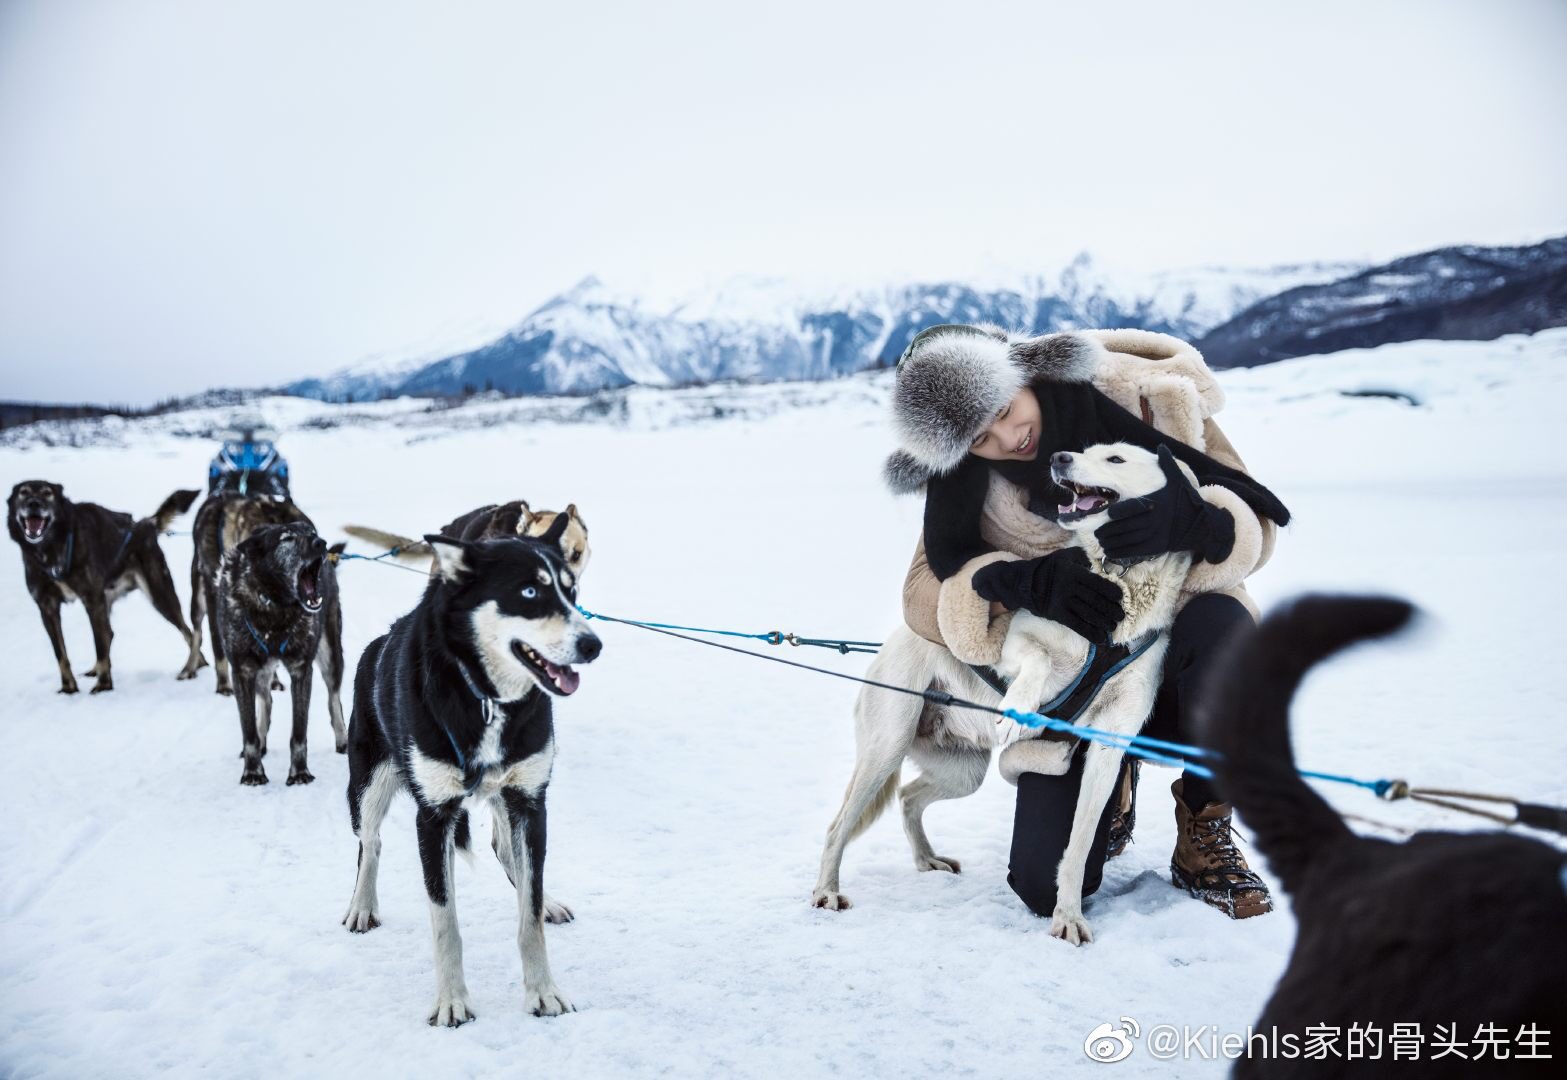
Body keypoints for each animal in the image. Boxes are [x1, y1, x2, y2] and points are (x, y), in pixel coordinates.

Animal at [7, 479, 203, 689]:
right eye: (23, 492)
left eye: (47, 493)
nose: (33, 504)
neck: (51, 550)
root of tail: (144, 525)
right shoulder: (47, 606)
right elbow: (61, 654)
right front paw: (69, 688)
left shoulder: (92, 600)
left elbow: (99, 646)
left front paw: (103, 685)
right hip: (108, 600)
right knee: (108, 633)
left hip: (159, 595)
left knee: (189, 632)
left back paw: (197, 666)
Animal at [217, 523, 340, 783]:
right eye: (287, 539)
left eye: (311, 533)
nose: (320, 543)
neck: (275, 609)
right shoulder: (243, 672)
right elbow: (249, 731)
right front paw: (253, 771)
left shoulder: (301, 669)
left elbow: (299, 732)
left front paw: (300, 772)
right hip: (261, 671)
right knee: (266, 700)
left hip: (330, 654)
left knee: (333, 696)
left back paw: (344, 740)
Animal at [343, 523, 598, 1028]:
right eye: (530, 591)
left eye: (571, 591)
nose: (593, 645)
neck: (486, 699)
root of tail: (379, 642)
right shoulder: (433, 816)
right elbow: (446, 923)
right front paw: (452, 1002)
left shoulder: (529, 802)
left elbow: (529, 914)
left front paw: (543, 992)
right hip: (368, 786)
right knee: (370, 843)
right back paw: (362, 906)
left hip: (506, 800)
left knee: (509, 853)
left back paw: (546, 899)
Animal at [814, 442, 1190, 940]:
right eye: (1088, 450)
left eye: (1116, 459)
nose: (1060, 457)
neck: (1117, 587)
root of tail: (891, 641)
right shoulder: (1015, 638)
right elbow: (1039, 658)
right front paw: (1018, 709)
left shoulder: (1109, 743)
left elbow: (1078, 844)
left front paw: (1068, 916)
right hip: (887, 747)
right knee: (838, 825)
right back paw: (826, 891)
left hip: (963, 772)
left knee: (908, 797)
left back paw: (926, 858)